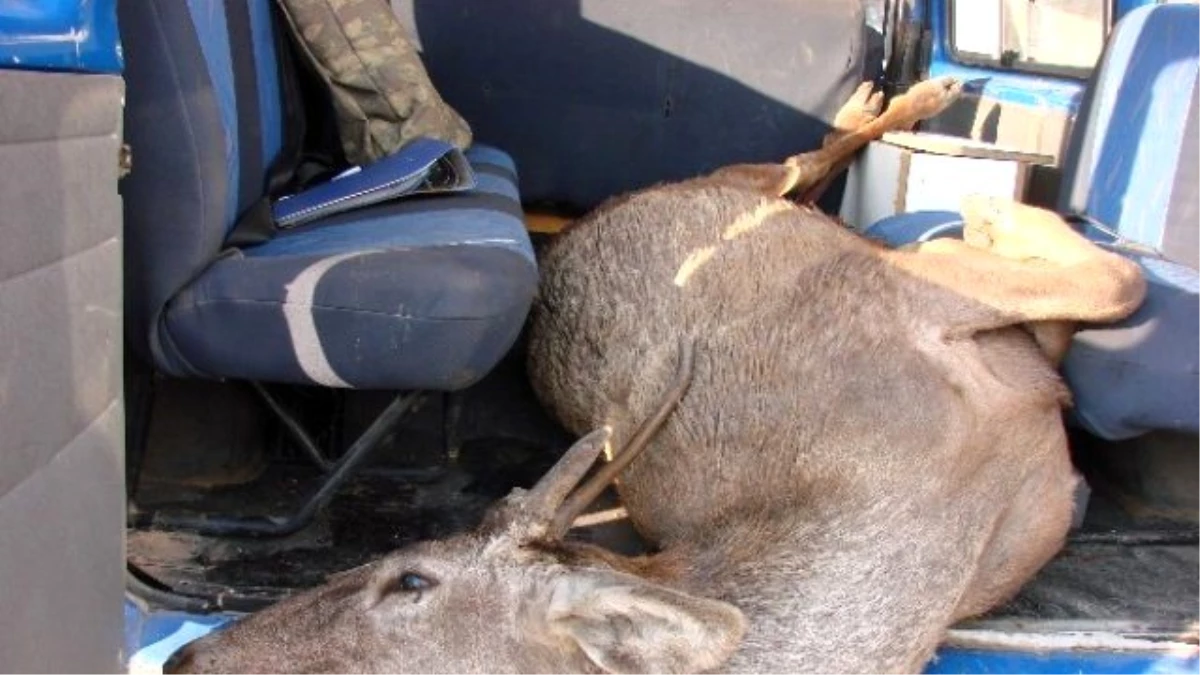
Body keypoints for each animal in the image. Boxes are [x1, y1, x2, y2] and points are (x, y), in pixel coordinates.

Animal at [159, 74, 1142, 672]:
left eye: (409, 577)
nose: (186, 655)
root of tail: (576, 229)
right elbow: (1095, 291)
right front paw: (999, 216)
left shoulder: (904, 293)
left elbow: (1110, 281)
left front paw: (995, 212)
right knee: (794, 167)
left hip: (748, 191)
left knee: (801, 160)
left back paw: (909, 96)